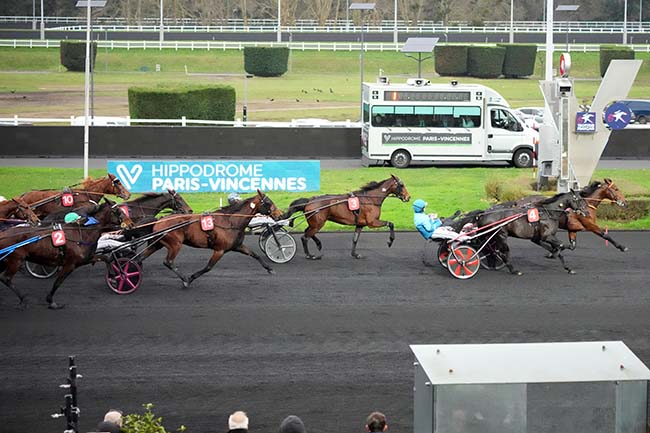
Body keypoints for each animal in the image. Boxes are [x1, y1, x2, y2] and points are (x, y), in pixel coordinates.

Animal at [0, 199, 134, 308]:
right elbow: (58, 282)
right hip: (16, 260)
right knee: (5, 278)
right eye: (117, 211)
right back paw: (23, 299)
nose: (131, 224)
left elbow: (106, 257)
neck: (83, 232)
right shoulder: (70, 264)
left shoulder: (86, 258)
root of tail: (4, 234)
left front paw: (114, 278)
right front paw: (51, 301)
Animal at [138, 190, 280, 286]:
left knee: (141, 257)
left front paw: (270, 269)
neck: (230, 221)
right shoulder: (219, 250)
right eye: (268, 202)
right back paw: (184, 279)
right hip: (175, 244)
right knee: (168, 262)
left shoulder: (237, 246)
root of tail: (159, 220)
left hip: (158, 244)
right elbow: (208, 267)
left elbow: (255, 255)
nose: (280, 214)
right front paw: (191, 278)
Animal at [280, 174, 410, 258]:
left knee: (308, 232)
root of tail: (309, 201)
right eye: (401, 185)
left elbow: (355, 239)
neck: (370, 199)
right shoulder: (372, 222)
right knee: (305, 237)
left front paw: (355, 254)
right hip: (318, 224)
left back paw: (318, 244)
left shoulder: (360, 224)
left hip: (314, 223)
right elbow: (391, 224)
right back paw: (309, 255)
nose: (408, 197)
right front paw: (390, 241)